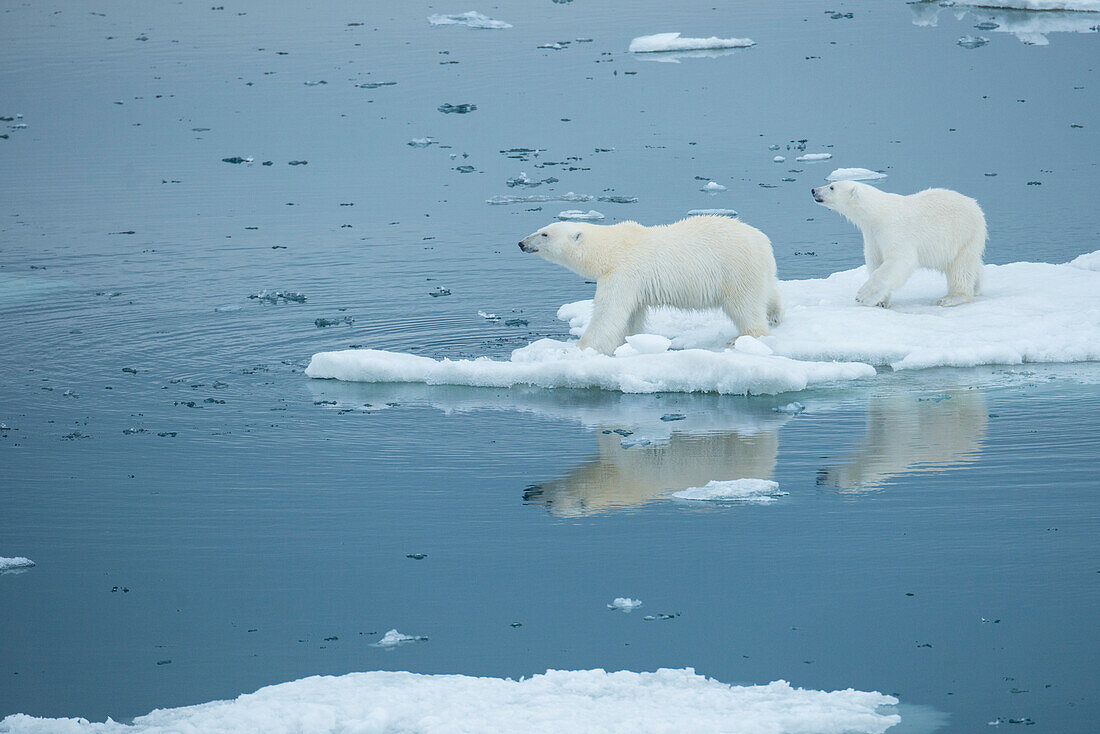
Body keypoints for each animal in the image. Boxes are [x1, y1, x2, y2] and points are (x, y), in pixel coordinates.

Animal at [517, 215, 783, 356]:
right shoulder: (635, 283)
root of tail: (763, 241)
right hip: (760, 269)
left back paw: (741, 338)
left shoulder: (623, 272)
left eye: (544, 234)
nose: (521, 243)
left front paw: (580, 347)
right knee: (769, 290)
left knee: (745, 305)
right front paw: (627, 342)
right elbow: (632, 315)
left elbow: (608, 313)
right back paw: (775, 314)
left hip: (735, 269)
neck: (610, 249)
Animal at [814, 179, 985, 308]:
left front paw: (863, 296)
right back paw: (976, 286)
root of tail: (975, 206)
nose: (814, 190)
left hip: (964, 235)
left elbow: (899, 260)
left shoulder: (895, 230)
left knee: (960, 268)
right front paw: (881, 301)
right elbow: (875, 260)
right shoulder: (872, 236)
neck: (877, 213)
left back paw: (951, 298)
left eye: (832, 187)